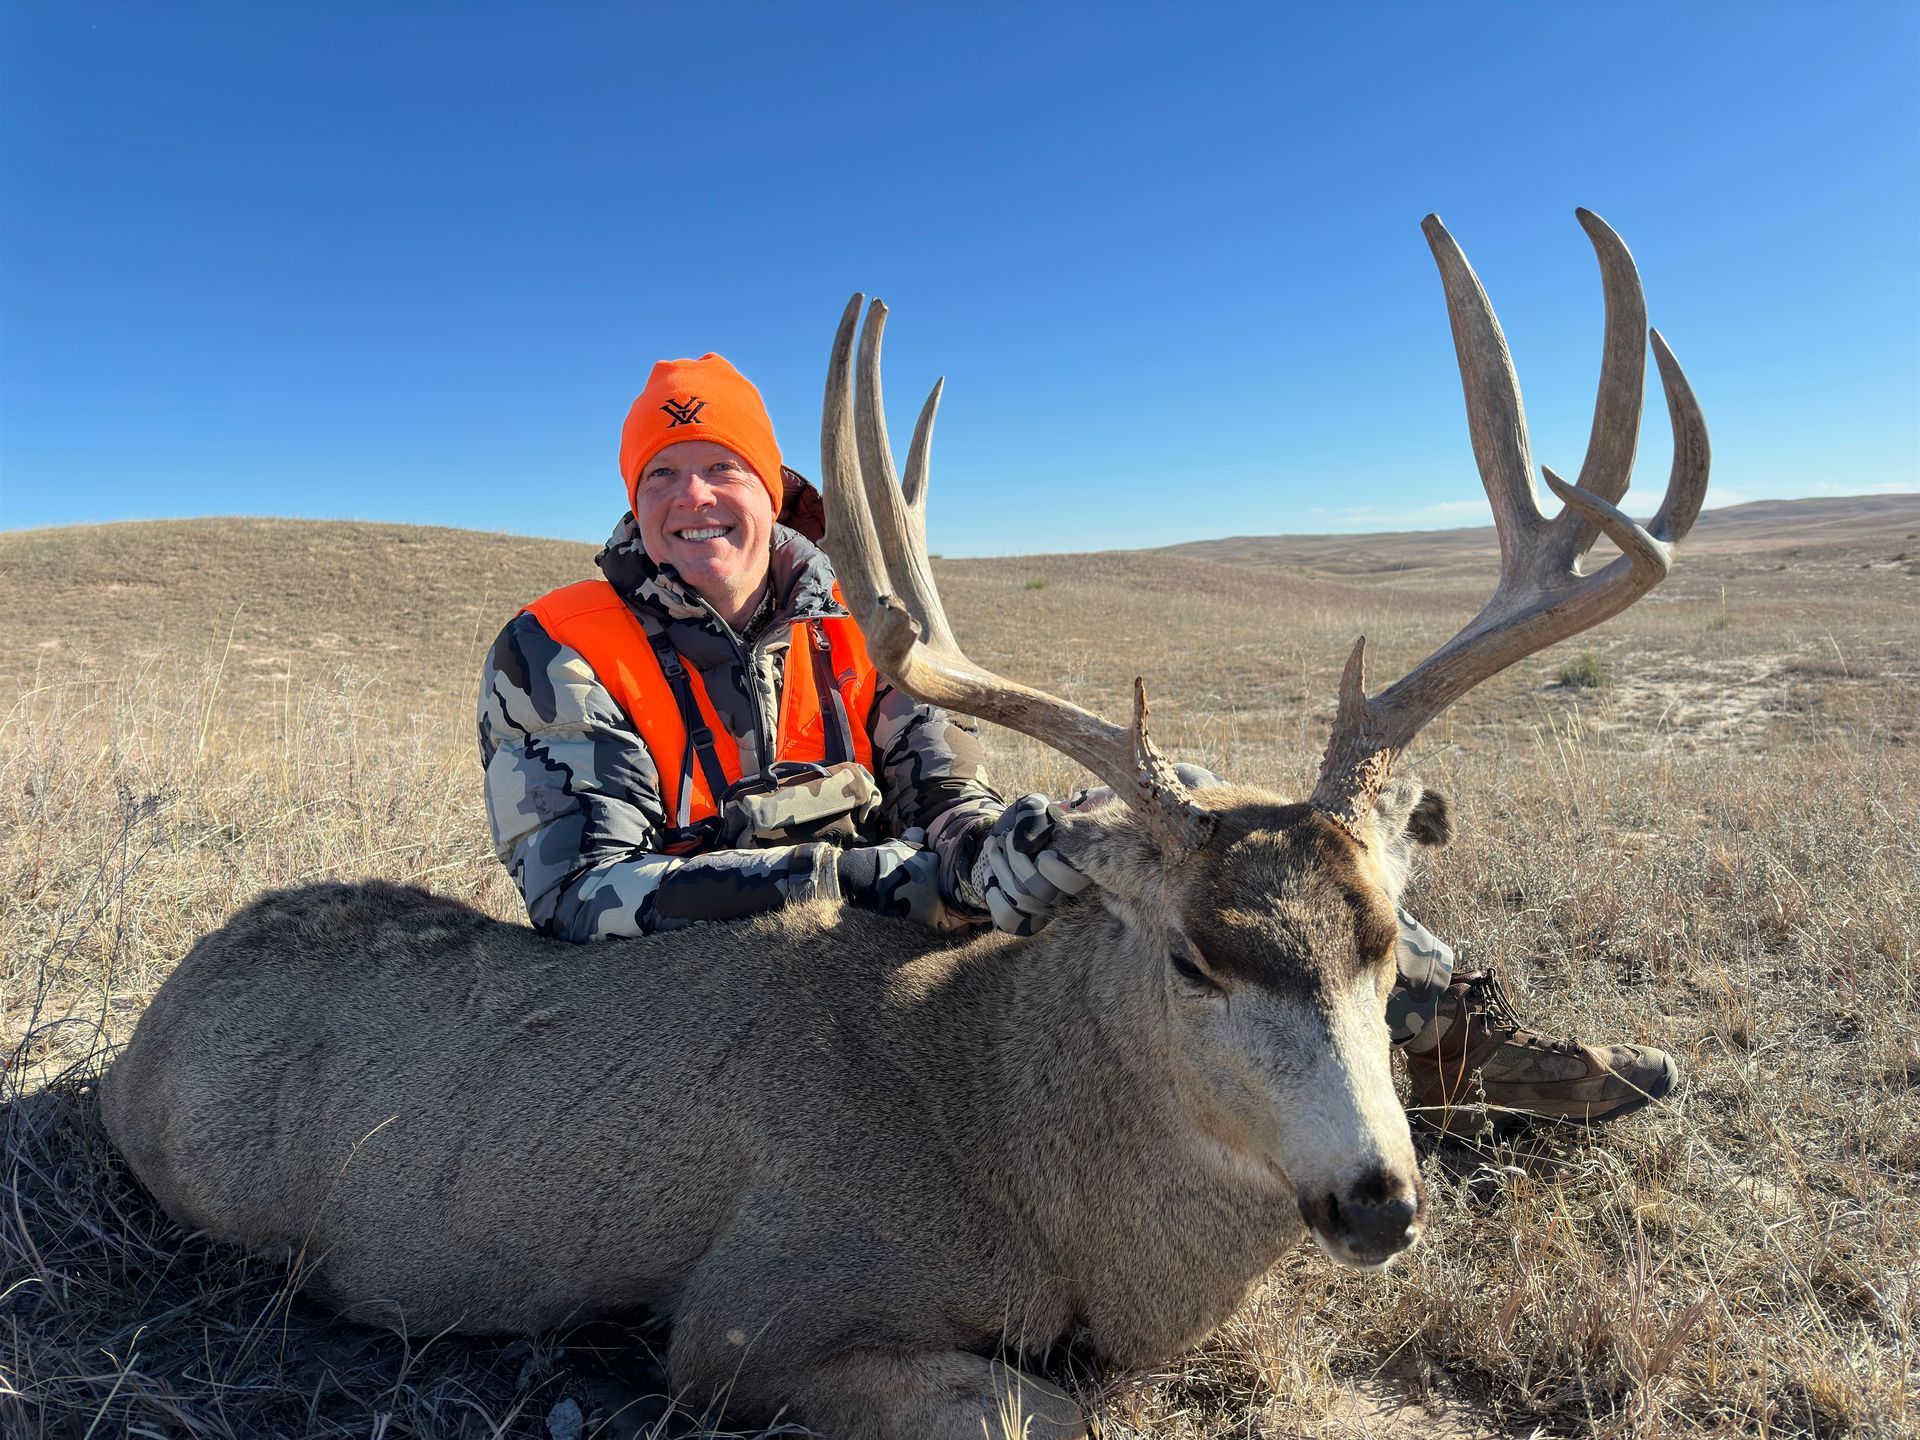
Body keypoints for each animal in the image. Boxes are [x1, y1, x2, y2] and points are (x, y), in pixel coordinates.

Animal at [103, 209, 1707, 1440]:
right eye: (1192, 961)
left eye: (1385, 948)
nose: (1378, 1202)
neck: (1009, 1131)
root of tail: (139, 1038)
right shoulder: (754, 1314)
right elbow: (1042, 1411)